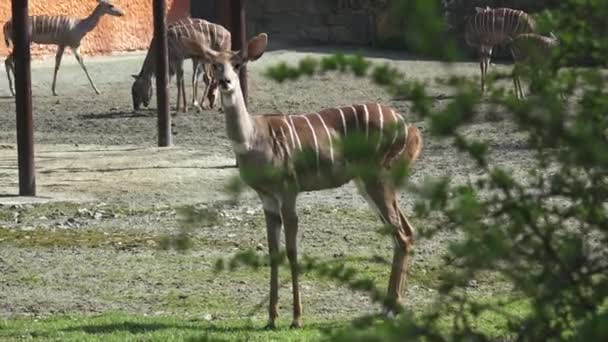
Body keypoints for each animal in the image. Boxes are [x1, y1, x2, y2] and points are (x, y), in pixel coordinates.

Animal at [183, 32, 426, 328]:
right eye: (215, 64)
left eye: (238, 63)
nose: (225, 82)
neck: (253, 140)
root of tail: (411, 130)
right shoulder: (266, 198)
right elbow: (273, 252)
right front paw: (271, 318)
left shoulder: (289, 189)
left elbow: (292, 251)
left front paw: (297, 318)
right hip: (370, 182)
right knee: (406, 230)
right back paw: (390, 307)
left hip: (377, 178)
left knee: (401, 234)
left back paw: (390, 309)